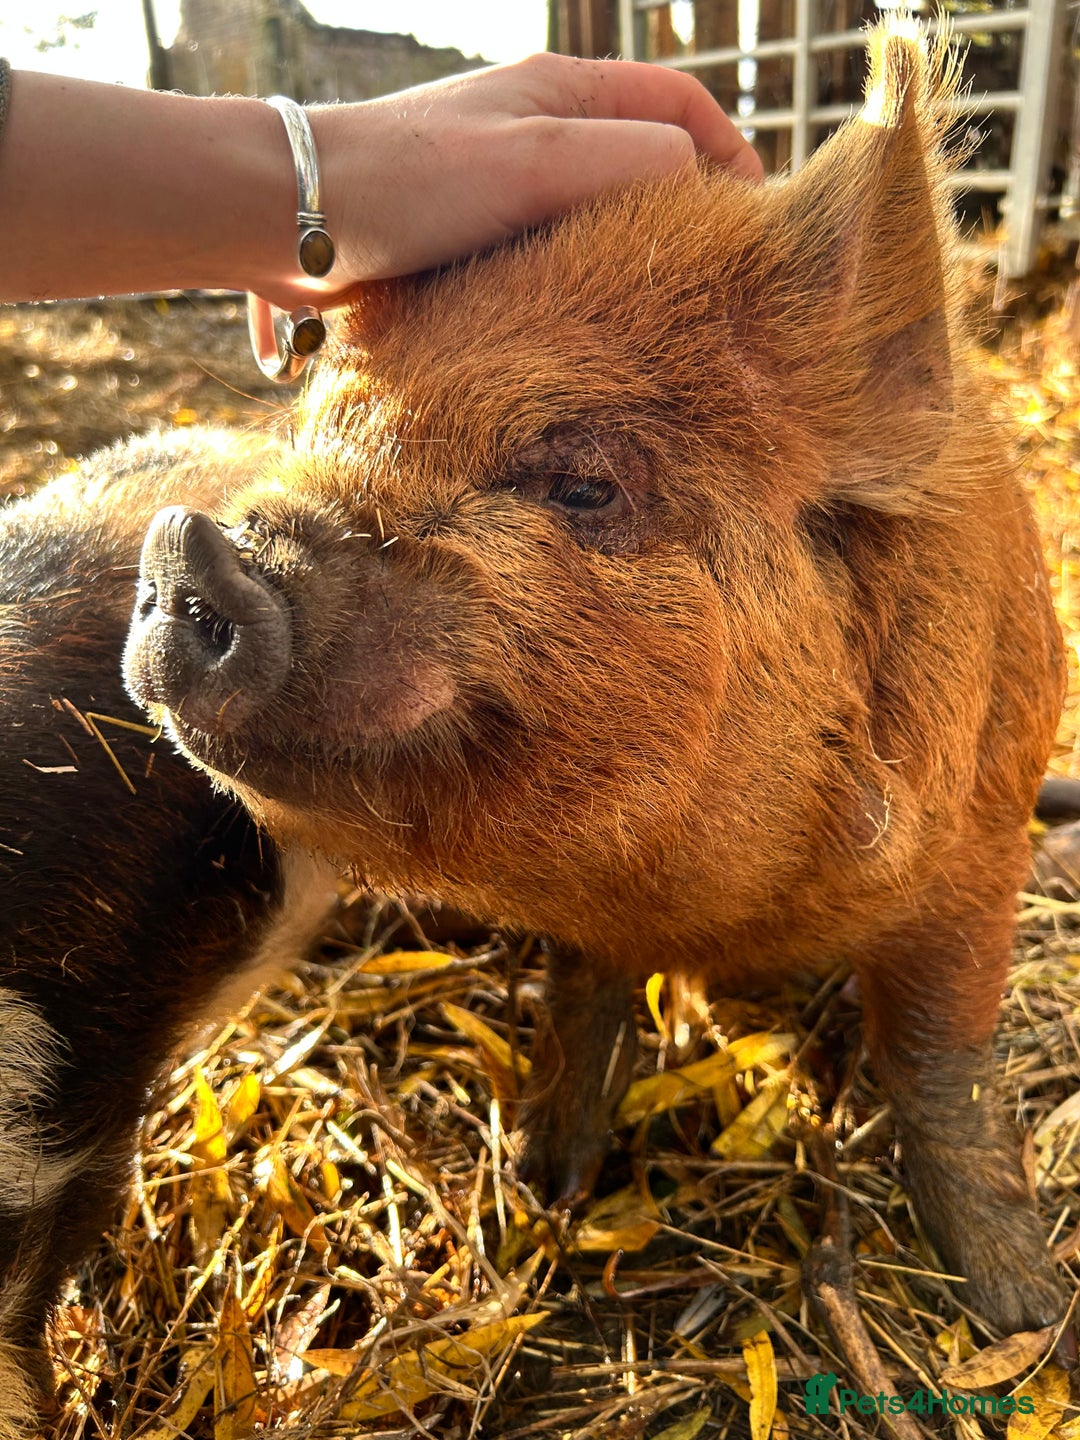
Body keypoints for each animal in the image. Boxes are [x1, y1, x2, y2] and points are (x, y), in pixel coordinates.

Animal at [124, 21, 1068, 1335]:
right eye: (312, 428)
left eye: (581, 484)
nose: (186, 543)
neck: (727, 908)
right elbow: (585, 994)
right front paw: (547, 1185)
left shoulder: (980, 850)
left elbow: (943, 1057)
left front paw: (1023, 1311)